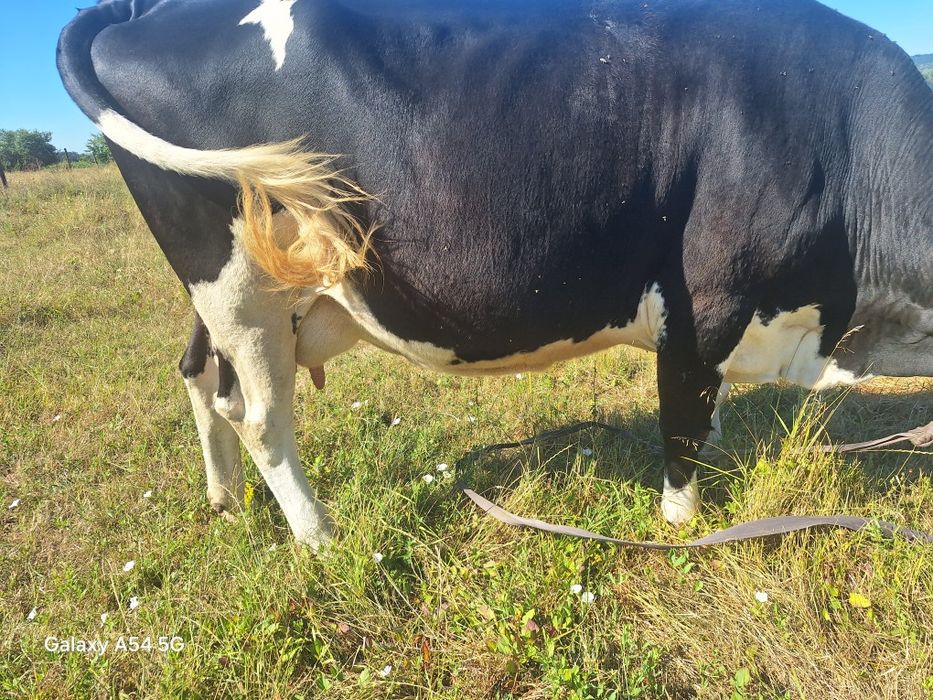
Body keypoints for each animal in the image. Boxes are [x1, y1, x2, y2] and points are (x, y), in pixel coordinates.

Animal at [58, 0, 932, 550]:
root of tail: (141, 10)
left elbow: (702, 413)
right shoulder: (705, 300)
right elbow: (680, 420)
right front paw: (682, 525)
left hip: (235, 288)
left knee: (199, 376)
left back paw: (226, 502)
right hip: (241, 285)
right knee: (261, 418)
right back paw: (320, 537)